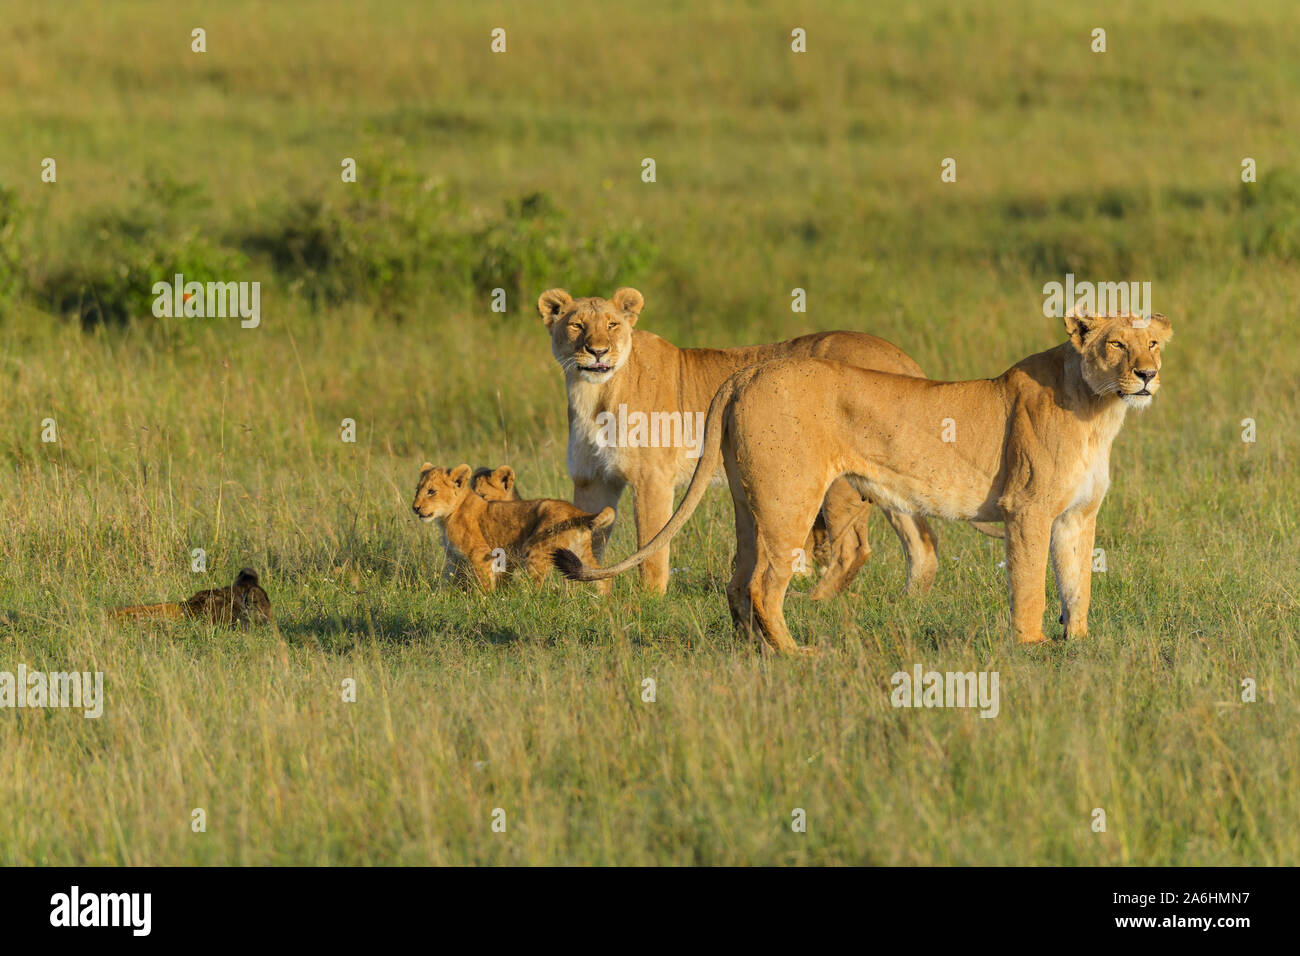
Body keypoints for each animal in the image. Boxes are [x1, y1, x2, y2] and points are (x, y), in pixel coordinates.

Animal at [413, 462, 614, 592]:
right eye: (417, 490)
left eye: (431, 491)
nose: (415, 507)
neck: (446, 516)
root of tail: (576, 511)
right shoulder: (454, 559)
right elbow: (448, 582)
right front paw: (441, 599)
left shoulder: (481, 554)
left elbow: (486, 584)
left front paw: (486, 603)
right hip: (580, 554)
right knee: (602, 578)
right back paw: (603, 607)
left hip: (535, 550)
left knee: (539, 589)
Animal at [539, 286, 945, 600]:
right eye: (576, 325)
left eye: (612, 325)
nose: (597, 351)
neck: (593, 395)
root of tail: (903, 359)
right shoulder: (592, 480)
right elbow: (586, 538)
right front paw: (586, 599)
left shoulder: (651, 478)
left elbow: (651, 546)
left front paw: (648, 602)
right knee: (922, 544)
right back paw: (908, 604)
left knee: (861, 547)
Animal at [557, 312, 1172, 654]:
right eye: (1117, 344)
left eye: (1154, 344)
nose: (1147, 375)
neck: (1099, 411)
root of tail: (748, 371)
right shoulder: (1028, 509)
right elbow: (1031, 586)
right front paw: (1033, 646)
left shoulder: (1077, 516)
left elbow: (1076, 583)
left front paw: (1079, 643)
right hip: (792, 500)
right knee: (763, 585)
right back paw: (798, 654)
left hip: (749, 503)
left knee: (737, 581)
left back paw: (755, 653)